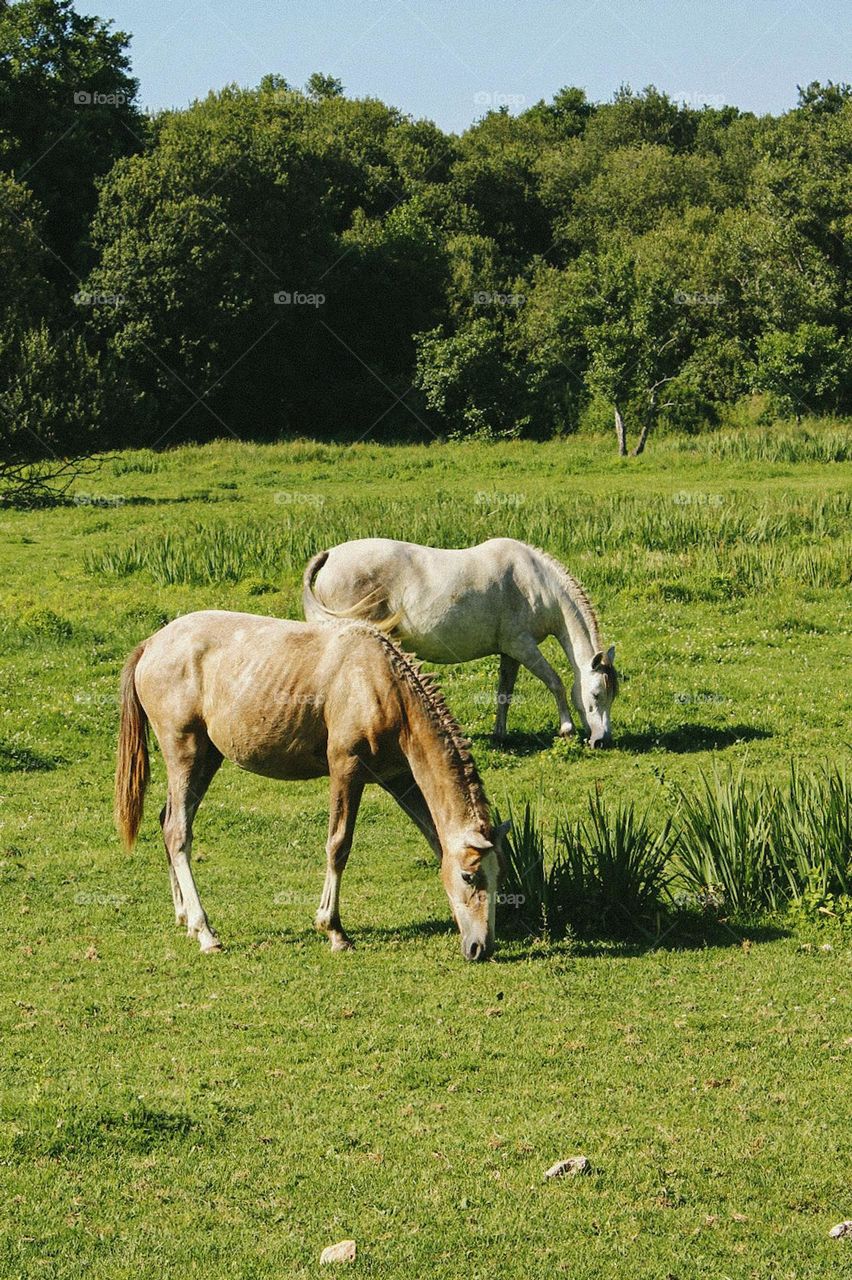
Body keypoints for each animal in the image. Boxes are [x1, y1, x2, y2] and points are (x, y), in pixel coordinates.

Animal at [114, 611, 506, 960]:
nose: (480, 947)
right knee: (178, 832)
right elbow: (338, 845)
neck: (380, 682)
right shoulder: (346, 769)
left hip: (206, 759)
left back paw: (184, 918)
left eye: (497, 875)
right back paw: (205, 932)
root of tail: (150, 645)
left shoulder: (400, 779)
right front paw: (334, 930)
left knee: (168, 820)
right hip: (185, 752)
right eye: (469, 876)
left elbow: (434, 839)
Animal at [302, 538, 618, 746]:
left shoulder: (510, 652)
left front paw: (499, 734)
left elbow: (504, 692)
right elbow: (555, 681)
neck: (535, 582)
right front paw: (566, 728)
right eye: (596, 695)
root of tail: (330, 556)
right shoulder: (522, 646)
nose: (603, 739)